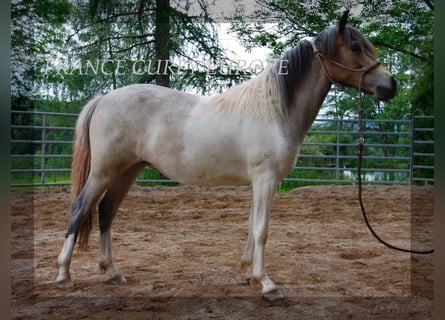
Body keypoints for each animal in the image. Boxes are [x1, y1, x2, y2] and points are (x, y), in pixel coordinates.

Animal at [54, 10, 396, 300]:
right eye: (355, 47)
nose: (391, 84)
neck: (274, 111)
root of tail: (103, 98)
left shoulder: (263, 182)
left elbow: (252, 226)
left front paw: (249, 275)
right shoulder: (265, 179)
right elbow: (261, 230)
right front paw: (268, 285)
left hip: (129, 170)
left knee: (106, 211)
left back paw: (112, 272)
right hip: (104, 170)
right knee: (80, 208)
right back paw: (63, 275)